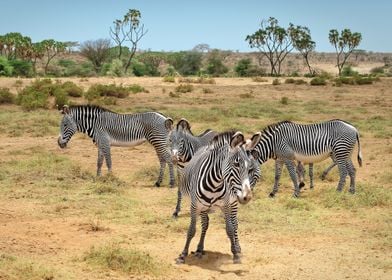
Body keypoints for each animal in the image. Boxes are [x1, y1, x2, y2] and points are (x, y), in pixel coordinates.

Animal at [176, 130, 262, 264]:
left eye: (250, 168)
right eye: (236, 164)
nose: (247, 197)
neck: (215, 183)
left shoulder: (226, 205)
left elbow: (230, 229)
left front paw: (235, 254)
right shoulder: (194, 206)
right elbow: (191, 230)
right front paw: (183, 255)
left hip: (232, 203)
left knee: (233, 223)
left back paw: (236, 247)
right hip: (203, 207)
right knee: (205, 224)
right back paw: (199, 248)